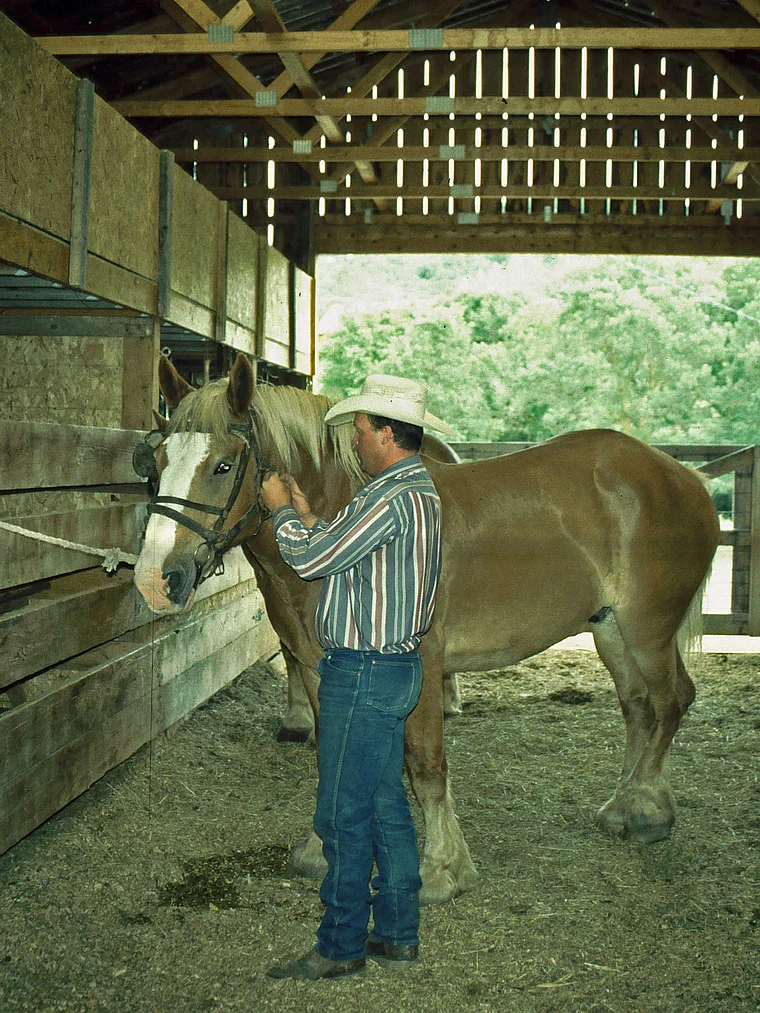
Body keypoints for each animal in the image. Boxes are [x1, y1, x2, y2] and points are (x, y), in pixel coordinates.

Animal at [133, 352, 720, 905]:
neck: (342, 512)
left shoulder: (420, 665)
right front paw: (324, 850)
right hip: (611, 633)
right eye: (157, 462)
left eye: (223, 465)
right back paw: (624, 805)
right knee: (638, 708)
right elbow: (334, 757)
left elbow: (426, 765)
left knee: (671, 701)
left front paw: (441, 869)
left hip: (647, 632)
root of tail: (684, 477)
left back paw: (647, 810)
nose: (156, 578)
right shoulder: (323, 670)